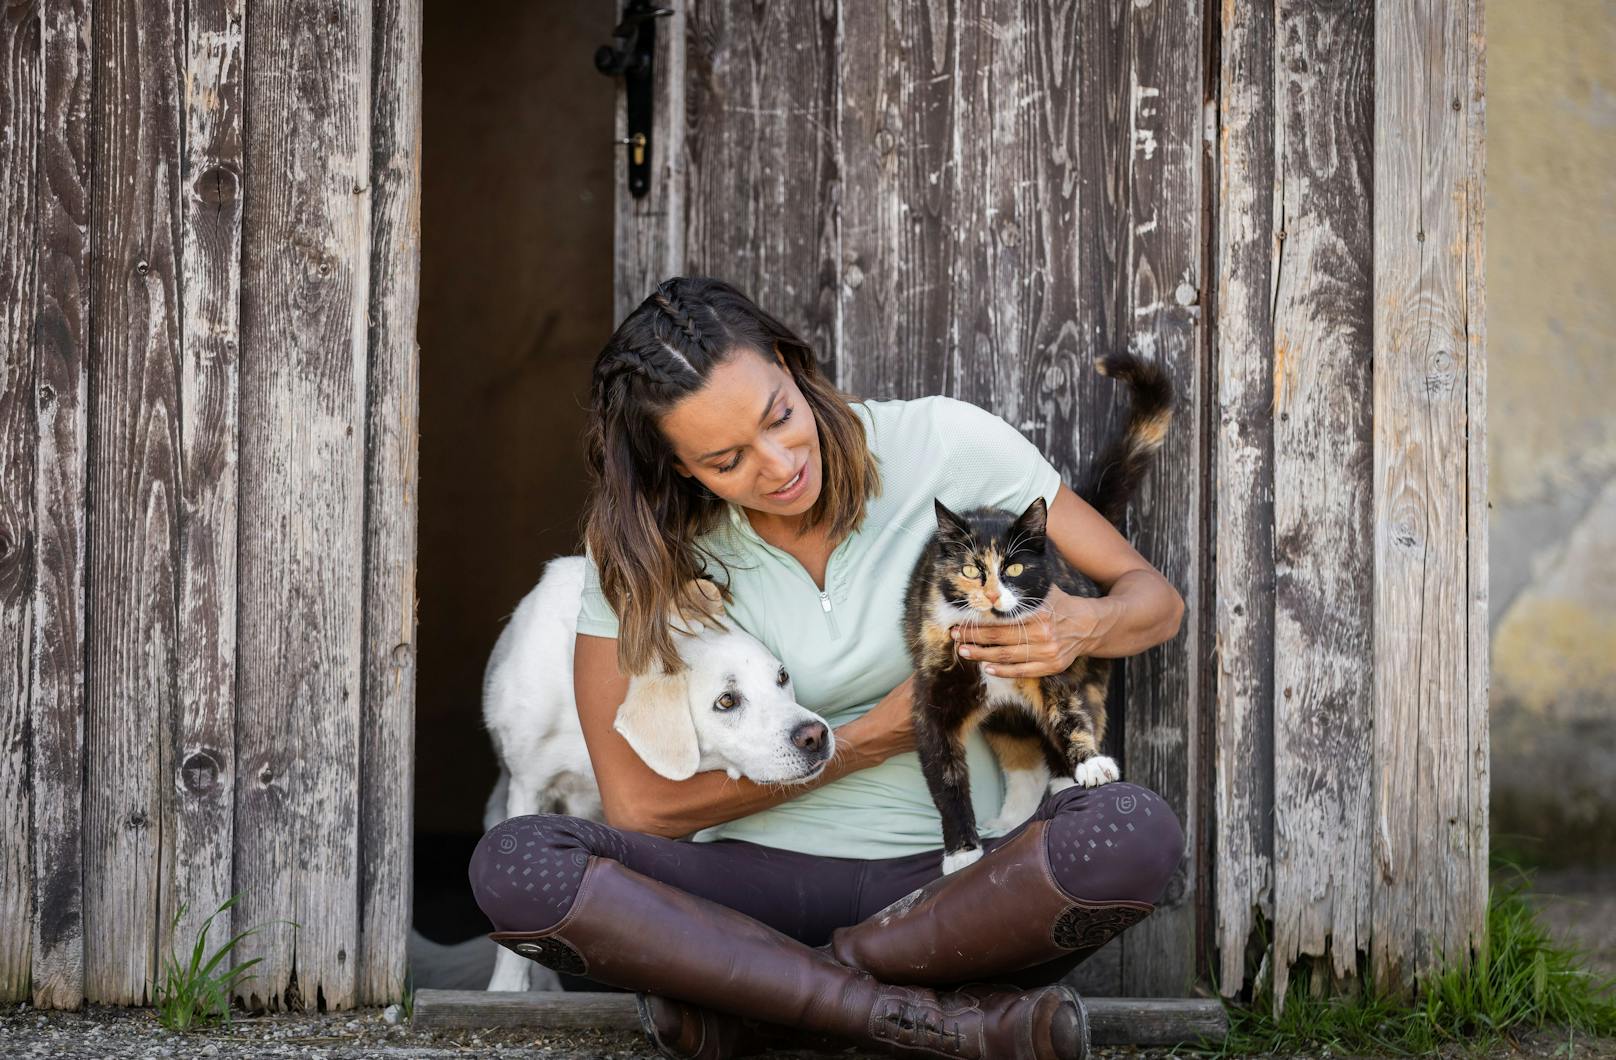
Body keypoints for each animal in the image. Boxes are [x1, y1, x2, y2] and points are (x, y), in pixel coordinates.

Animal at [898, 352, 1176, 872]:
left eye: (1014, 567)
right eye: (970, 569)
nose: (992, 596)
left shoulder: (1052, 662)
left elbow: (1067, 713)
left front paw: (1089, 763)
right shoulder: (933, 693)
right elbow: (944, 774)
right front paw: (962, 853)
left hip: (1093, 668)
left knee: (1073, 717)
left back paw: (1067, 780)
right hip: (1003, 718)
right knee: (1021, 757)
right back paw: (1012, 821)